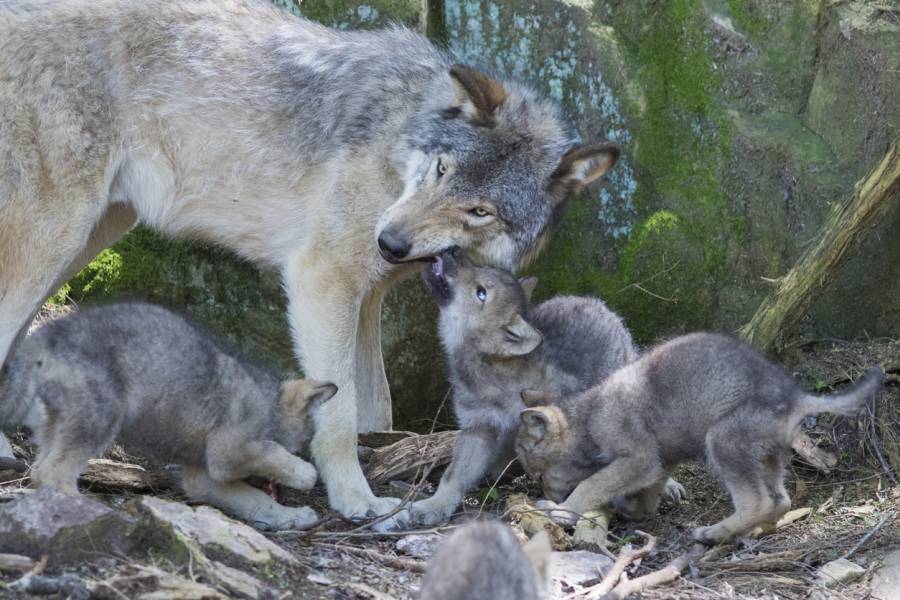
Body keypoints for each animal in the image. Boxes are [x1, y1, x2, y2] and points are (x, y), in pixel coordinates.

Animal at [0, 302, 338, 528]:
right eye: (295, 446)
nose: (282, 492)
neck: (269, 404)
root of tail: (46, 335)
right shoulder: (228, 453)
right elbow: (274, 458)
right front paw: (305, 475)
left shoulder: (202, 476)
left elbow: (255, 500)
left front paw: (290, 516)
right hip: (100, 420)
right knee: (53, 474)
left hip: (58, 424)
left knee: (40, 471)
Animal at [410, 253, 684, 524]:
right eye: (481, 268)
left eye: (481, 293)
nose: (451, 252)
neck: (490, 374)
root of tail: (595, 303)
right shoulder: (478, 428)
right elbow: (454, 475)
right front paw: (433, 506)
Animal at [516, 332, 884, 544]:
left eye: (537, 473)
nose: (541, 491)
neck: (588, 416)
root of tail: (795, 397)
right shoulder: (661, 460)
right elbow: (646, 493)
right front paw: (635, 510)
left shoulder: (639, 458)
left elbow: (590, 484)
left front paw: (561, 511)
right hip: (767, 457)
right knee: (780, 500)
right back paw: (748, 530)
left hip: (722, 442)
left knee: (758, 502)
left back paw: (714, 533)